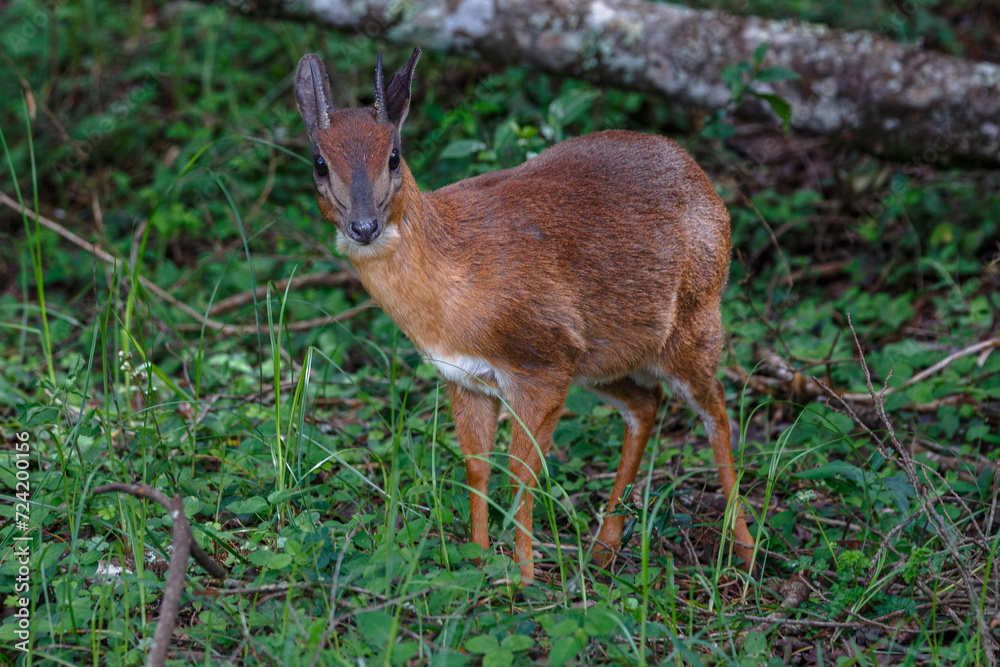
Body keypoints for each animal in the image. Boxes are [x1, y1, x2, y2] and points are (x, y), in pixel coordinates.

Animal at [292, 49, 752, 580]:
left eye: (393, 155)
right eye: (319, 163)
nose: (364, 226)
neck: (453, 290)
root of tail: (705, 184)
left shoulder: (540, 363)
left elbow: (521, 470)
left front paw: (525, 576)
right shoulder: (467, 377)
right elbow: (476, 466)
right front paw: (476, 560)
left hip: (694, 323)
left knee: (717, 410)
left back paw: (746, 549)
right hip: (600, 360)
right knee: (646, 404)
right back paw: (604, 548)